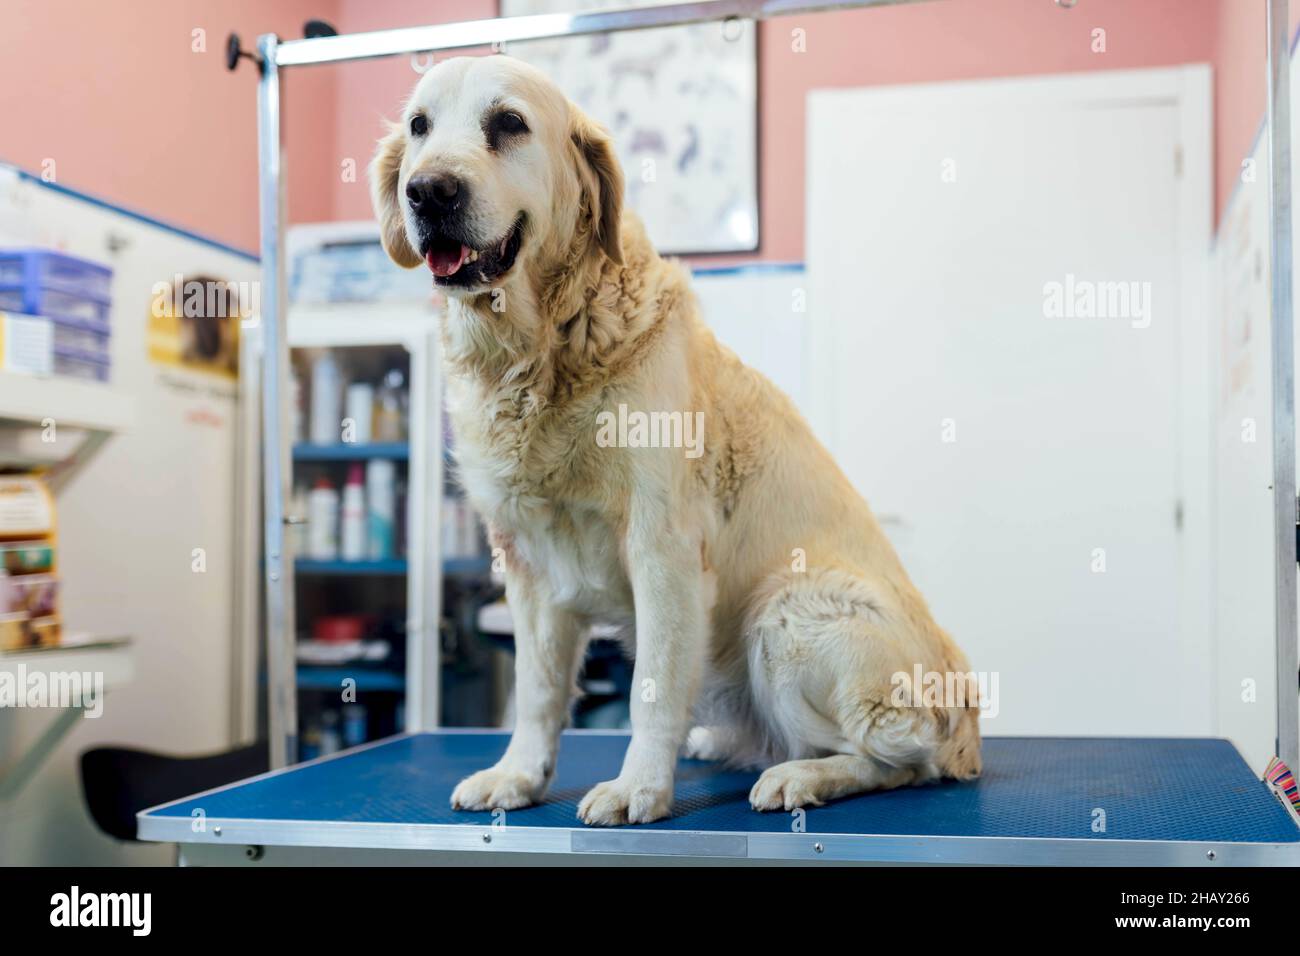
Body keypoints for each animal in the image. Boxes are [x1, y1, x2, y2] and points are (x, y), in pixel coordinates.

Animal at [366, 55, 977, 827]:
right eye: (420, 126)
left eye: (507, 123)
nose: (428, 191)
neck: (541, 354)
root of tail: (968, 715)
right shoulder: (528, 568)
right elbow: (537, 692)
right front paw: (518, 775)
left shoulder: (663, 546)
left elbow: (649, 689)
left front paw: (638, 788)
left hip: (787, 610)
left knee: (899, 758)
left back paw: (801, 775)